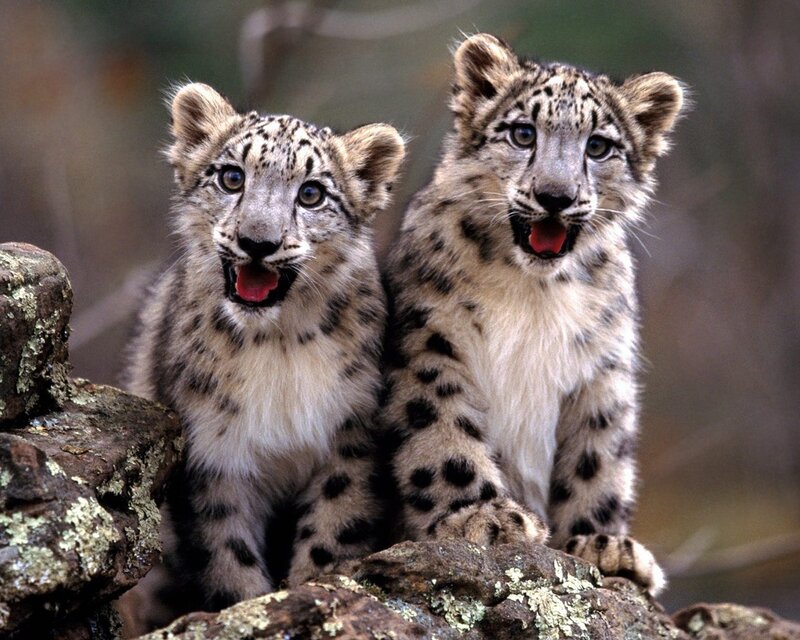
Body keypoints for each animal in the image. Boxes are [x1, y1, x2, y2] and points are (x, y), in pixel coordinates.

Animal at [122, 82, 404, 628]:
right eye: (232, 177)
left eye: (311, 193)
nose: (257, 242)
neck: (277, 346)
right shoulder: (213, 454)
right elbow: (228, 555)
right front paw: (248, 607)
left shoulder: (350, 438)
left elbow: (332, 532)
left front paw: (312, 590)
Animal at [379, 33, 686, 595]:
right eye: (523, 133)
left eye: (598, 146)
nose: (555, 196)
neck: (534, 293)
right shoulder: (428, 342)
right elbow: (441, 430)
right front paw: (482, 516)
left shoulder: (602, 368)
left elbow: (597, 457)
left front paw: (602, 545)